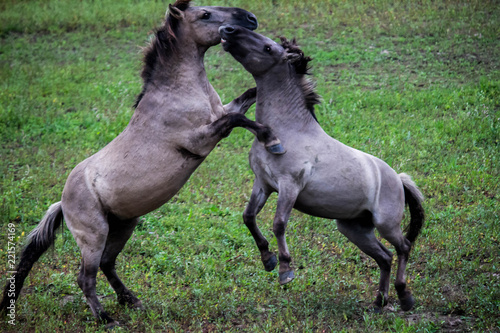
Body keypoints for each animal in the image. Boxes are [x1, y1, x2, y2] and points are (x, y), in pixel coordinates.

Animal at [0, 1, 286, 326]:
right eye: (205, 15)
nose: (249, 19)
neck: (180, 94)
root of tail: (63, 202)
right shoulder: (200, 140)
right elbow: (238, 119)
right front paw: (271, 138)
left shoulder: (221, 113)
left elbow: (246, 98)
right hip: (93, 236)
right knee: (85, 277)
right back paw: (106, 319)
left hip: (123, 225)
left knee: (108, 264)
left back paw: (131, 300)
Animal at [220, 26, 426, 312]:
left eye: (268, 48)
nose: (228, 30)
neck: (288, 131)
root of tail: (399, 178)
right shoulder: (263, 183)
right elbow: (248, 217)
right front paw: (267, 259)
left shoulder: (289, 185)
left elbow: (279, 223)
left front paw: (285, 270)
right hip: (354, 228)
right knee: (384, 257)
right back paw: (379, 302)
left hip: (386, 224)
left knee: (403, 247)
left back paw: (405, 296)